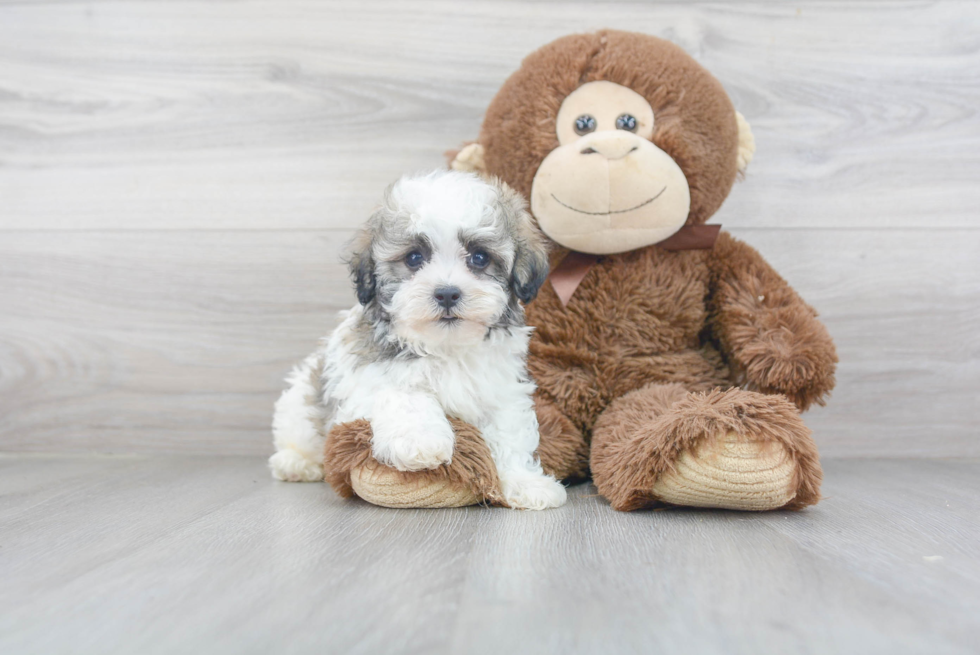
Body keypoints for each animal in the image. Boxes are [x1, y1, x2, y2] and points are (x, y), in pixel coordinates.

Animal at [268, 170, 568, 512]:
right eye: (414, 258)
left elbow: (509, 433)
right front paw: (421, 441)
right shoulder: (365, 378)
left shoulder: (502, 390)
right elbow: (403, 393)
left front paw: (524, 482)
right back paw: (296, 462)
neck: (445, 347)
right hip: (298, 404)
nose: (447, 293)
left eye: (479, 258)